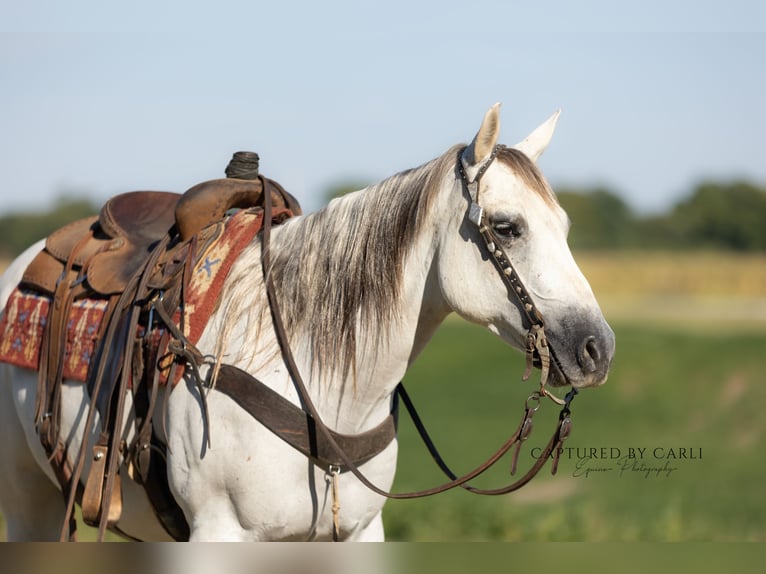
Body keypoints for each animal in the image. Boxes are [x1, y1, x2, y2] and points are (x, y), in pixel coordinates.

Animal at [0, 104, 614, 541]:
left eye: (564, 226)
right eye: (507, 227)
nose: (597, 349)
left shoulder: (359, 534)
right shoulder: (220, 533)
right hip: (29, 501)